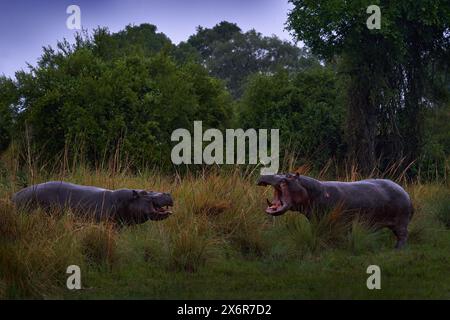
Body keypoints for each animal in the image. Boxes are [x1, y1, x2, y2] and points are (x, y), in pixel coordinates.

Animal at [256, 172, 414, 250]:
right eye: (280, 171)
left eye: (288, 176)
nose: (265, 175)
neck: (313, 192)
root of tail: (405, 191)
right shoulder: (316, 221)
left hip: (401, 222)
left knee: (403, 235)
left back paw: (397, 249)